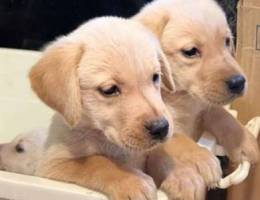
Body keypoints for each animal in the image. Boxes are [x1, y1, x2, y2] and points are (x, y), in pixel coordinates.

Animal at [29, 16, 179, 200]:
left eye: (156, 77)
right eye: (109, 90)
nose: (161, 128)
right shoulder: (53, 164)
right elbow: (97, 162)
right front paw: (132, 181)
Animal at [135, 0, 258, 197]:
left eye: (227, 41)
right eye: (191, 51)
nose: (239, 82)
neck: (182, 98)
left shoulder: (201, 107)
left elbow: (220, 114)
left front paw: (243, 138)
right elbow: (177, 138)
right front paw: (201, 160)